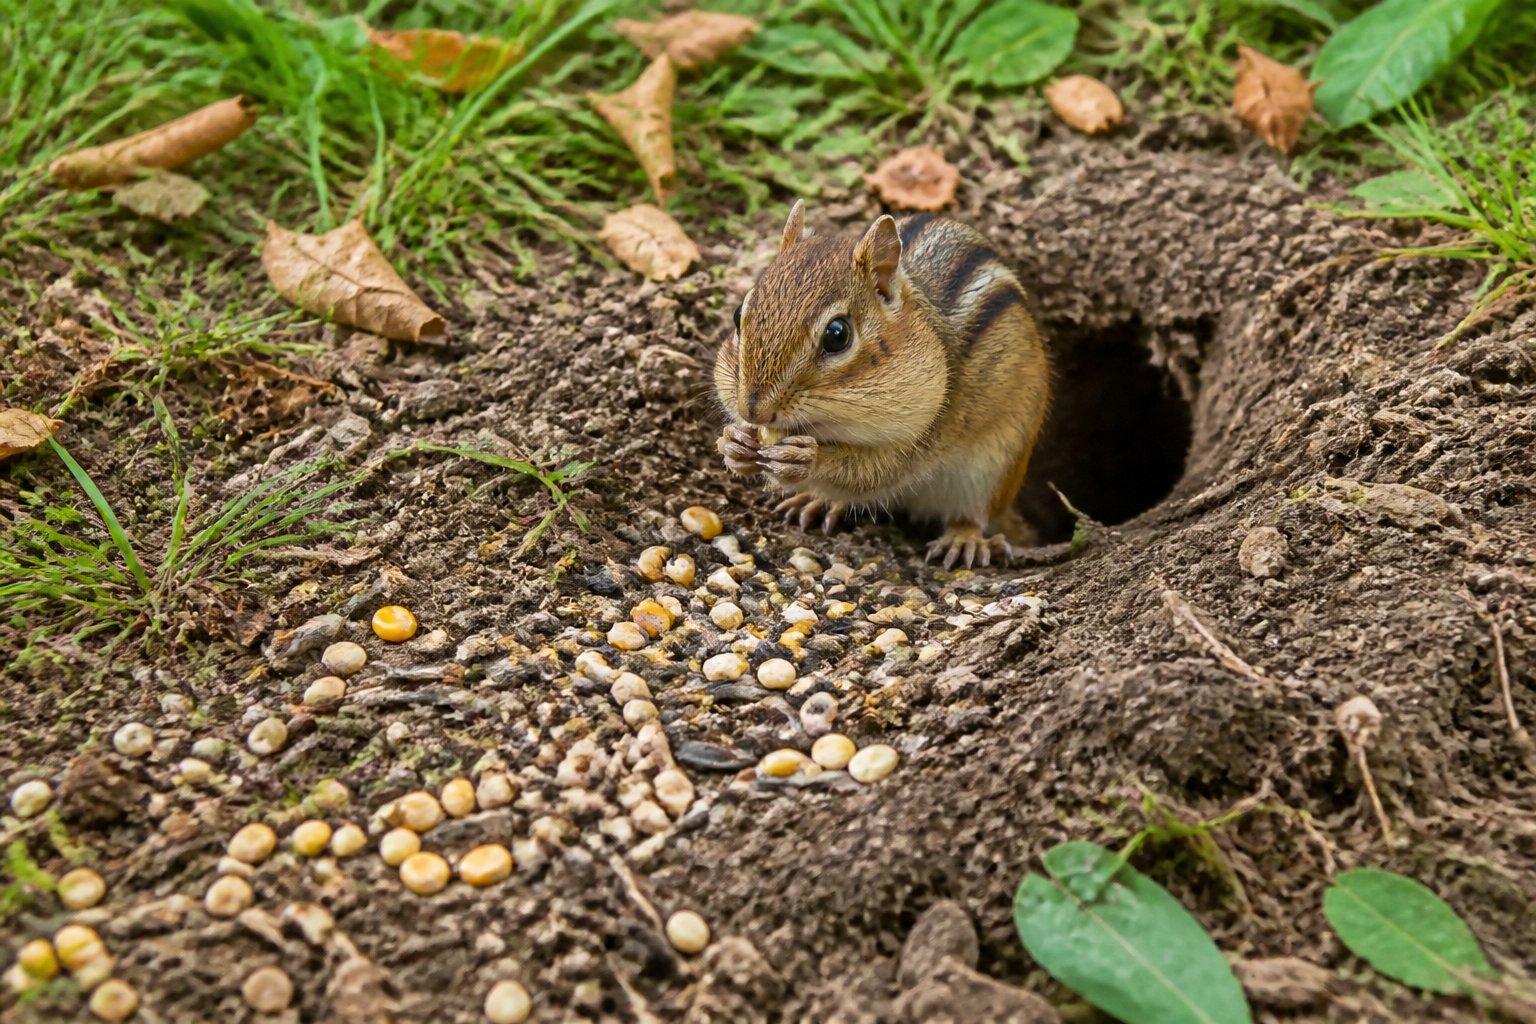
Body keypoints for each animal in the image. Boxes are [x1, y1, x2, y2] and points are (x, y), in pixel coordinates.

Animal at [714, 199, 1051, 569]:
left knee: (972, 515)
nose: (754, 411)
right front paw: (733, 442)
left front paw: (806, 459)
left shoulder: (926, 430)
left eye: (837, 335)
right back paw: (818, 500)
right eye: (737, 315)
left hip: (993, 468)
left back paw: (965, 540)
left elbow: (876, 472)